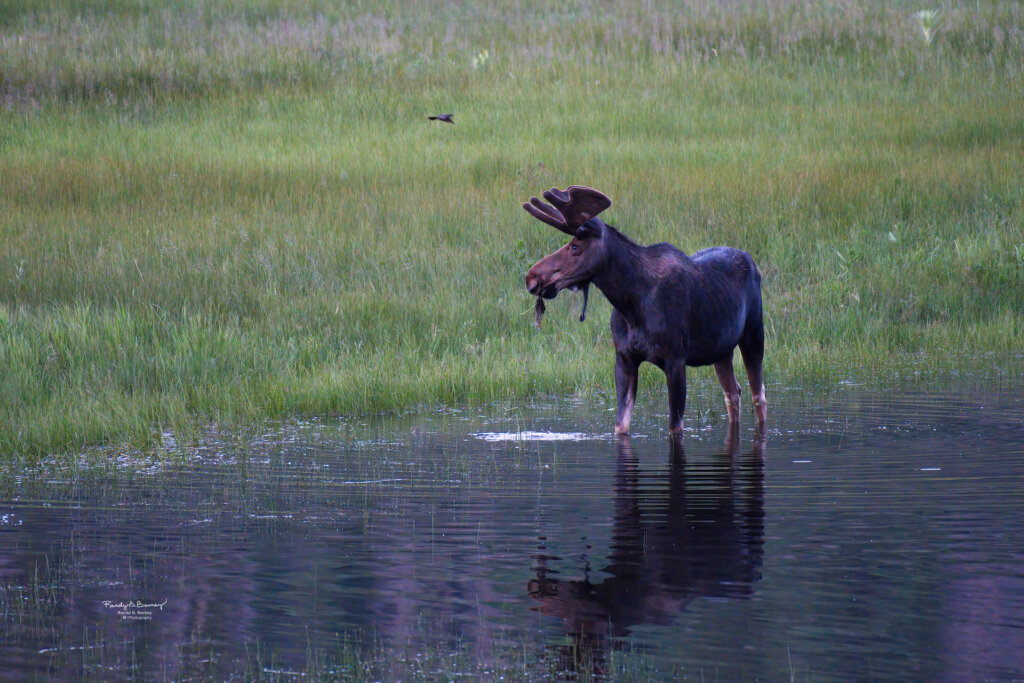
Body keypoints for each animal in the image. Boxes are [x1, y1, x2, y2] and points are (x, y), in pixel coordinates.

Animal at [524, 185, 765, 432]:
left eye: (575, 247)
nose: (532, 277)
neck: (631, 306)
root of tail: (752, 262)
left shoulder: (676, 360)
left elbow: (674, 427)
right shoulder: (624, 357)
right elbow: (621, 426)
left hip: (754, 333)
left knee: (758, 395)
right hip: (721, 349)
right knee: (733, 392)